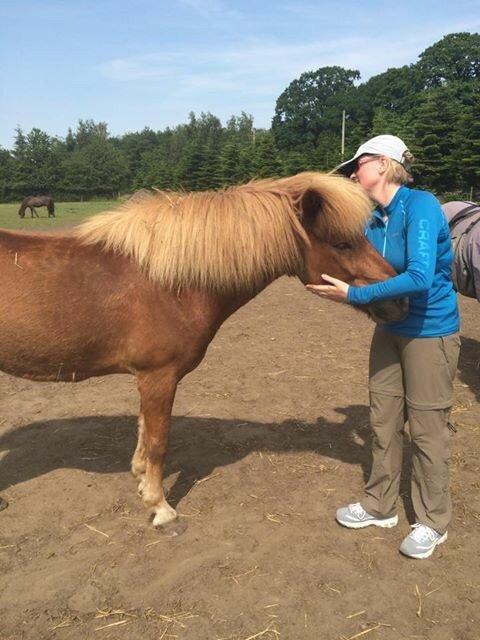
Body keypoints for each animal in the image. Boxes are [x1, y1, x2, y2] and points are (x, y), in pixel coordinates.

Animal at [0, 172, 406, 532]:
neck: (169, 283)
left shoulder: (148, 380)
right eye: (342, 244)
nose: (401, 301)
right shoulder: (159, 377)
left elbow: (144, 431)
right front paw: (160, 509)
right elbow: (158, 441)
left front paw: (141, 478)